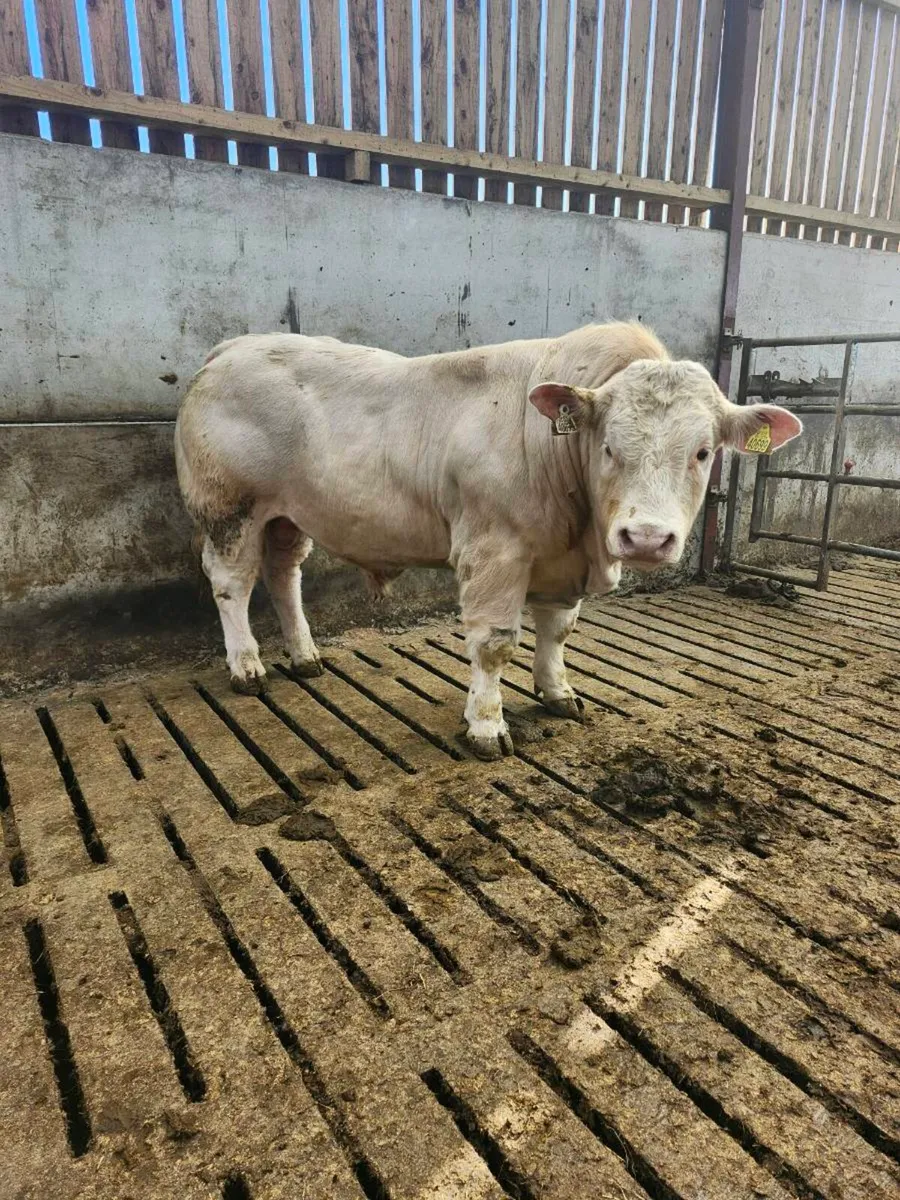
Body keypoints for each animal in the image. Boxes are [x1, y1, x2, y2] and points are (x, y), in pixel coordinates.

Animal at [175, 322, 802, 760]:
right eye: (607, 448)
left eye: (702, 452)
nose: (646, 538)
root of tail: (232, 347)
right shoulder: (494, 551)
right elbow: (496, 644)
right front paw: (485, 724)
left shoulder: (559, 560)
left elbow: (558, 631)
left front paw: (558, 692)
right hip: (229, 507)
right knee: (232, 582)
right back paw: (247, 667)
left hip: (290, 515)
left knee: (284, 574)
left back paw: (305, 656)